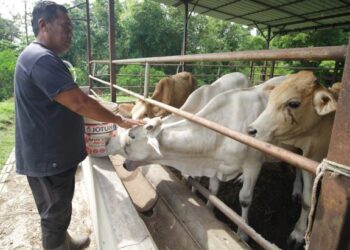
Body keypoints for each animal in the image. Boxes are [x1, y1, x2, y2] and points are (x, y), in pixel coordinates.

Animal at [108, 74, 288, 240]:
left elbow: (244, 198)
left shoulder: (254, 162)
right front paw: (207, 207)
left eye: (132, 137)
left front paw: (243, 234)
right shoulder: (215, 163)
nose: (123, 165)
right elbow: (212, 190)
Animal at [247, 71, 340, 249]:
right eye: (271, 99)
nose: (251, 130)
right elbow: (306, 199)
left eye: (294, 103)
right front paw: (299, 232)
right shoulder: (309, 158)